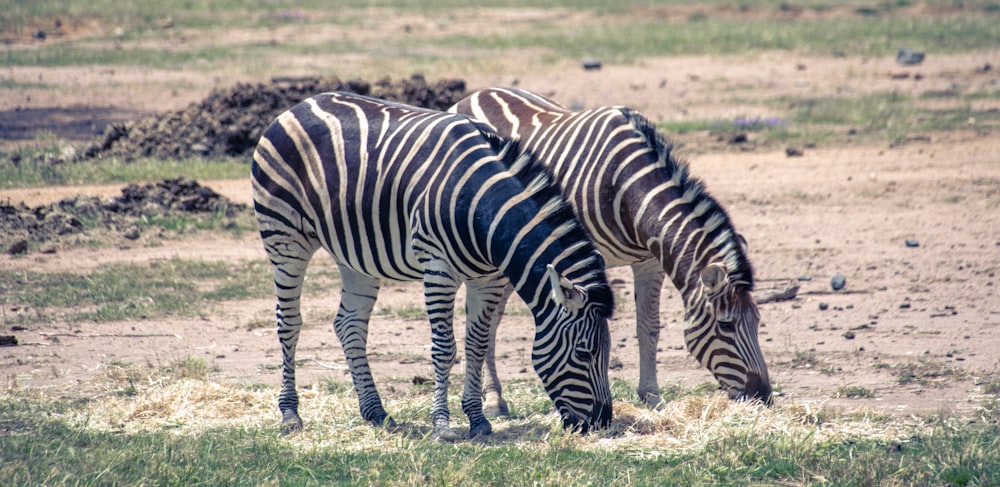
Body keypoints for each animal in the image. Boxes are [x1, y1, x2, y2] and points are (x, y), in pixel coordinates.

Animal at [254, 91, 612, 438]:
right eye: (584, 353)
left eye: (606, 352)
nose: (602, 423)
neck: (484, 208)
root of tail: (298, 106)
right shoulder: (439, 269)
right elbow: (444, 348)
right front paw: (442, 424)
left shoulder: (488, 279)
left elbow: (477, 344)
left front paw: (478, 420)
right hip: (285, 237)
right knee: (288, 323)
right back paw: (290, 414)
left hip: (354, 255)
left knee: (349, 325)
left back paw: (376, 413)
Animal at [452, 86, 772, 412]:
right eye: (726, 325)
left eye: (758, 322)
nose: (763, 396)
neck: (628, 185)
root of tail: (477, 93)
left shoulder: (649, 261)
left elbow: (649, 327)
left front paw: (651, 396)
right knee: (488, 322)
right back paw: (493, 398)